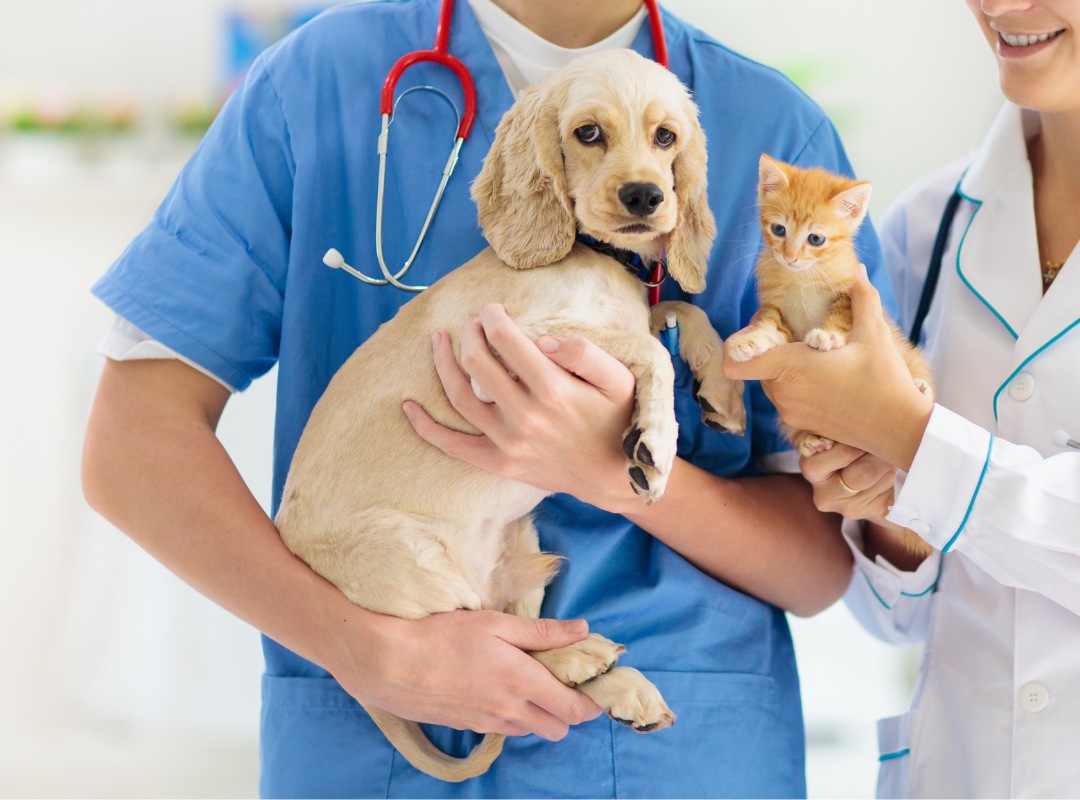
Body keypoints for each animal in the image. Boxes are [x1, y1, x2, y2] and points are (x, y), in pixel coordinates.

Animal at [730, 153, 933, 455]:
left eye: (816, 239)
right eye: (779, 229)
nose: (790, 258)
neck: (802, 277)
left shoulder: (848, 292)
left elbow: (841, 315)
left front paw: (827, 335)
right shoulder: (778, 311)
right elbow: (771, 326)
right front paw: (751, 340)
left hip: (909, 355)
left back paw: (920, 387)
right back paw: (808, 439)